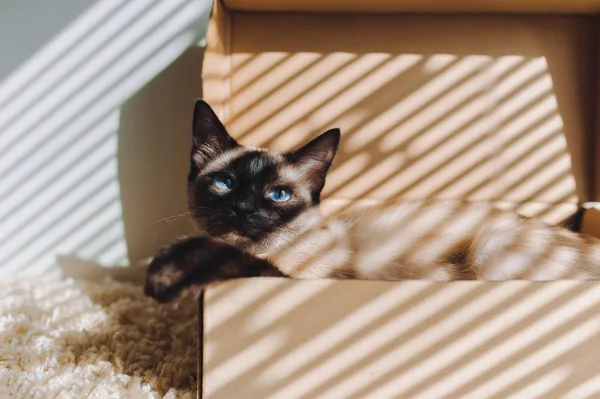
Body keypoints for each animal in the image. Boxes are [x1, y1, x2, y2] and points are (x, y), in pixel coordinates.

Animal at [144, 100, 600, 304]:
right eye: (225, 183)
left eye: (278, 194)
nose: (244, 209)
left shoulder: (298, 278)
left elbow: (224, 255)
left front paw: (165, 277)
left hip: (491, 251)